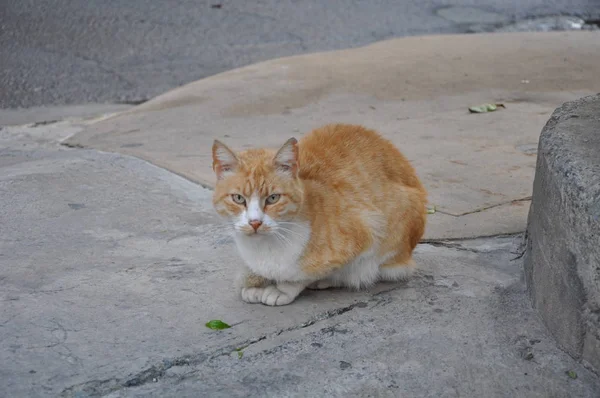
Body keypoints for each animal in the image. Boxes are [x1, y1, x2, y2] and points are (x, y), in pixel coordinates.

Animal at [211, 123, 426, 306]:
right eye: (238, 198)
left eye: (273, 198)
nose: (255, 222)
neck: (263, 248)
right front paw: (256, 282)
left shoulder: (368, 230)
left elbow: (304, 273)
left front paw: (282, 288)